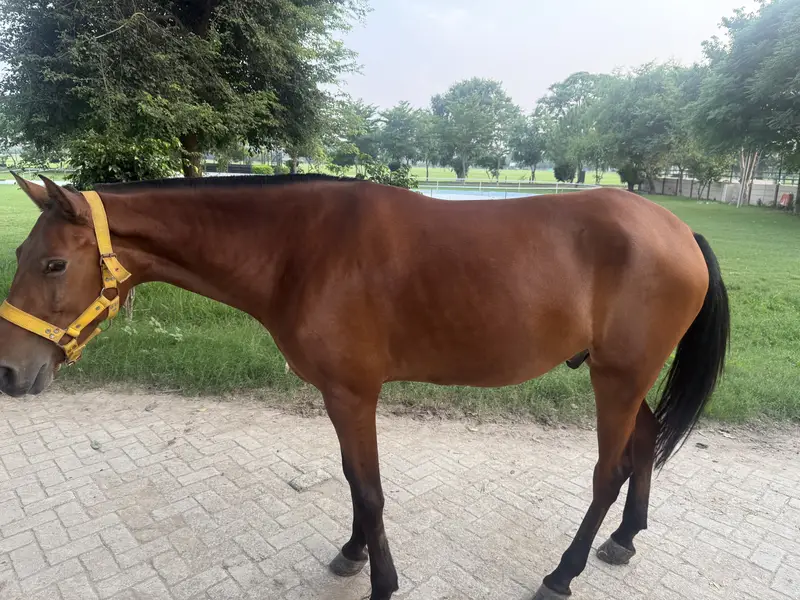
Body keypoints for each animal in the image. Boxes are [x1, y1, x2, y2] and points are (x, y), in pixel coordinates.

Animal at [0, 173, 729, 600]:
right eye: (22, 255)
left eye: (54, 263)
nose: (8, 371)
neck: (302, 248)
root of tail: (678, 229)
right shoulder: (338, 395)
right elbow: (355, 482)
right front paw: (352, 554)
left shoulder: (353, 393)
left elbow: (371, 488)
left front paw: (382, 580)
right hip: (625, 376)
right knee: (646, 441)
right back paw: (625, 539)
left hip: (618, 377)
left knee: (608, 470)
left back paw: (562, 574)